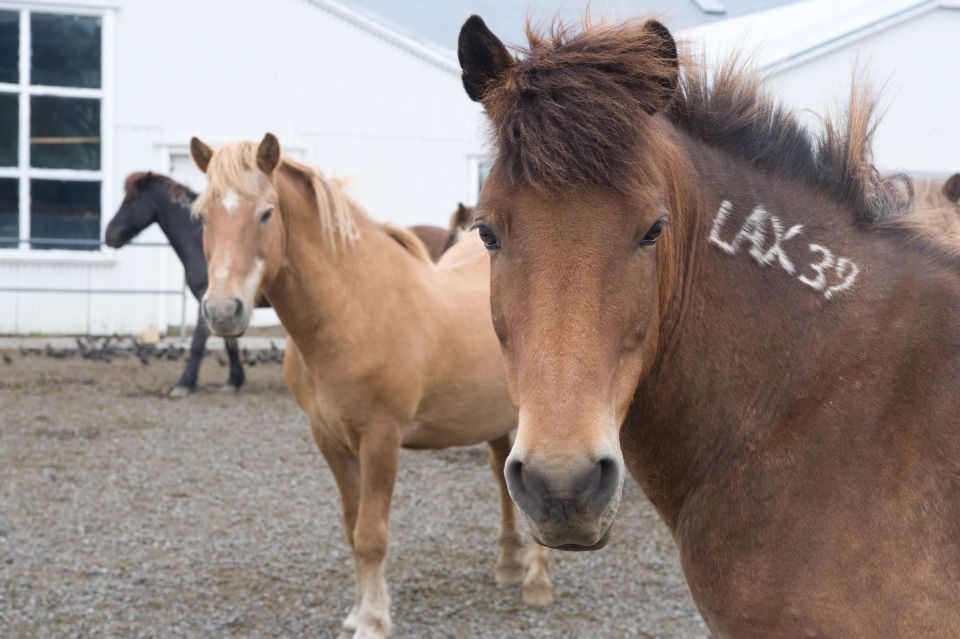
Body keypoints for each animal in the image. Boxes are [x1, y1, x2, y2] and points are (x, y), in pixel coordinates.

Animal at [105, 173, 452, 398]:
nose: (110, 235)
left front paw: (185, 383)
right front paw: (234, 380)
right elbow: (230, 343)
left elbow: (199, 344)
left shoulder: (212, 300)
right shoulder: (225, 304)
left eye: (129, 201)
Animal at [187, 134, 553, 638]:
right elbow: (351, 527)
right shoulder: (331, 442)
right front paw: (357, 612)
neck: (352, 307)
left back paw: (537, 582)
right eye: (203, 215)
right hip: (495, 420)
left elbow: (371, 535)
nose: (224, 311)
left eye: (265, 213)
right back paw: (509, 566)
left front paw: (374, 621)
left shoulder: (381, 440)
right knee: (503, 483)